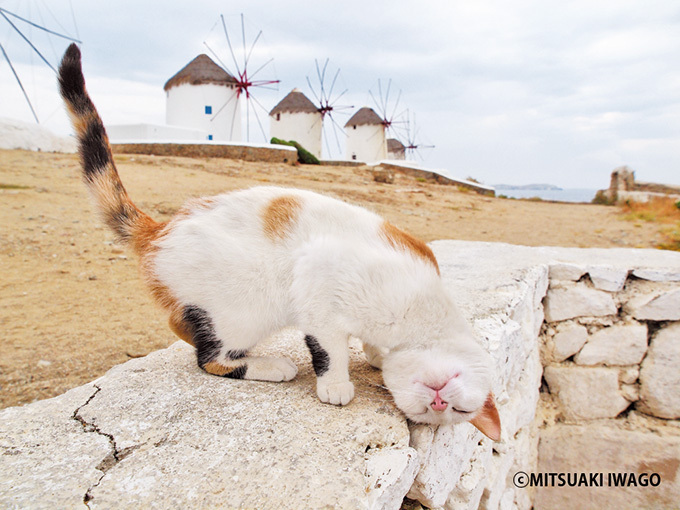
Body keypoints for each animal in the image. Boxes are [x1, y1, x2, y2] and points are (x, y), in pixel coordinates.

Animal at [58, 43, 502, 440]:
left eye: (454, 412)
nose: (439, 402)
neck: (424, 316)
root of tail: (162, 228)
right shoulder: (319, 278)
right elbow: (330, 347)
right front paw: (335, 384)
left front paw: (374, 357)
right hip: (246, 310)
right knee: (210, 360)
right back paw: (272, 366)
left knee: (182, 325)